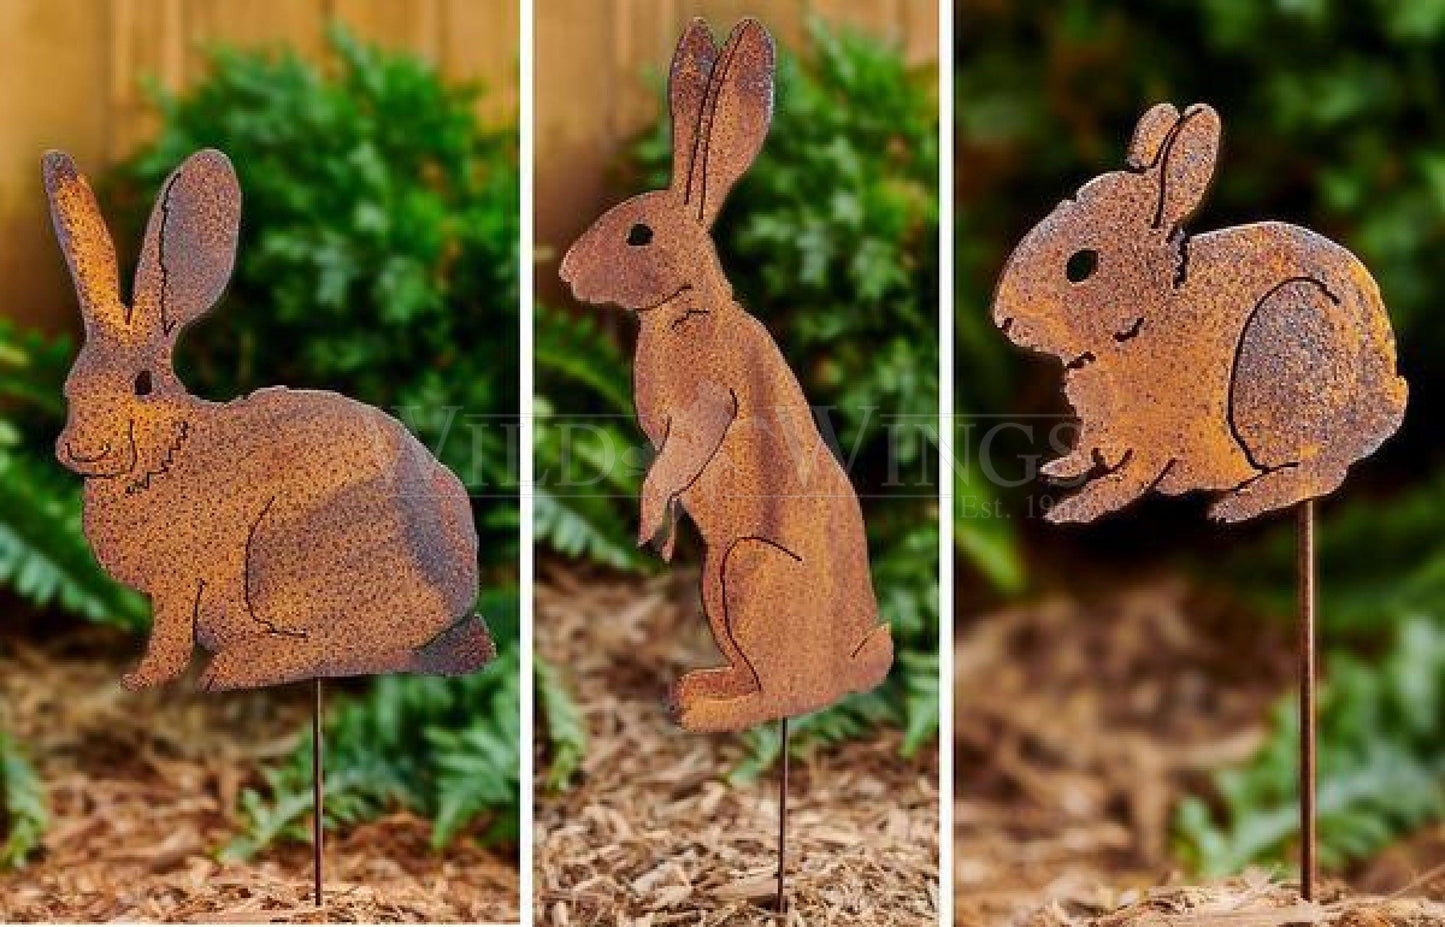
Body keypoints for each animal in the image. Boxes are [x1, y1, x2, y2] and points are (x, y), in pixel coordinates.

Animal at [44, 148, 494, 692]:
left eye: (143, 384)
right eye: (70, 384)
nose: (81, 450)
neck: (168, 452)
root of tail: (449, 601)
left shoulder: (180, 583)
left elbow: (169, 641)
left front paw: (140, 679)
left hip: (282, 565)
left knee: (329, 650)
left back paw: (232, 669)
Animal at [558, 18, 893, 733]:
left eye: (639, 234)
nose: (568, 271)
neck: (688, 307)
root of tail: (854, 664)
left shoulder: (707, 403)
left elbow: (675, 460)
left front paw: (647, 525)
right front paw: (661, 540)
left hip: (744, 569)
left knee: (782, 695)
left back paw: (708, 709)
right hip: (717, 580)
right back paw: (696, 690)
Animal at [992, 102, 1408, 525]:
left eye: (1082, 265)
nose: (1003, 320)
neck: (1150, 312)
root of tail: (1384, 400)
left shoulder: (1153, 439)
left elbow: (1127, 480)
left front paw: (1071, 510)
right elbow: (1087, 453)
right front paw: (1058, 469)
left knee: (1319, 474)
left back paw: (1236, 505)